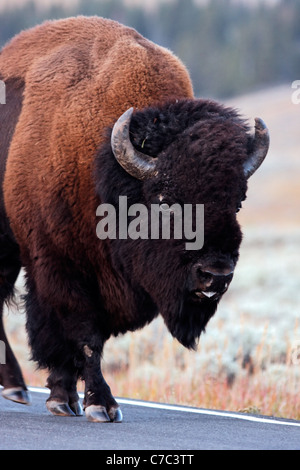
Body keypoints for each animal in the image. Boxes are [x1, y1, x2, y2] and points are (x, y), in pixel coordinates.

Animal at [0, 17, 268, 422]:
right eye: (165, 200)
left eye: (238, 201)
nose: (215, 275)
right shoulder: (58, 267)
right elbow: (83, 335)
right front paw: (98, 404)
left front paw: (69, 398)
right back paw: (15, 386)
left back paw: (16, 387)